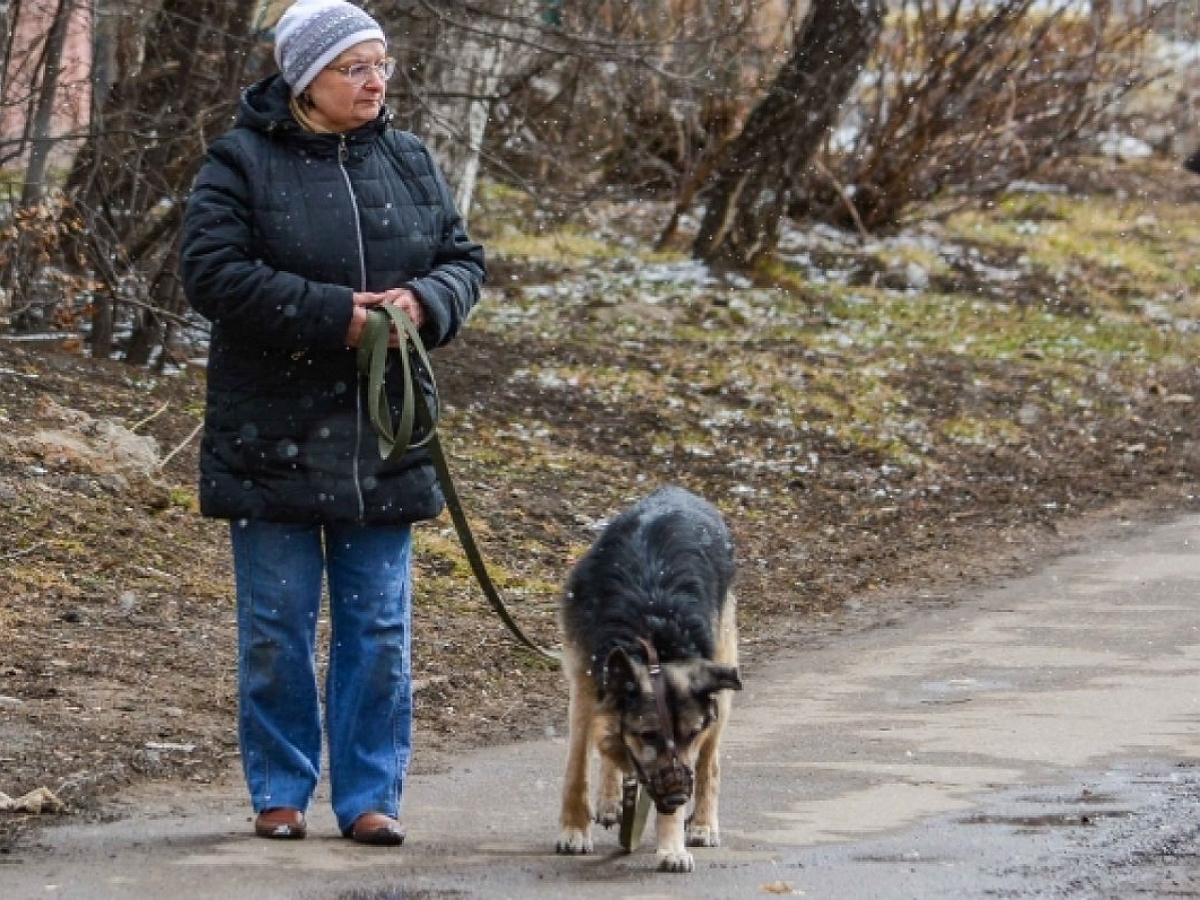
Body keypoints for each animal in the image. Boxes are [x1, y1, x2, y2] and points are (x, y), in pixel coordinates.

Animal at [554, 487, 739, 873]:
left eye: (691, 733)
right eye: (649, 735)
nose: (678, 796)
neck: (650, 639)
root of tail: (679, 491)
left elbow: (693, 762)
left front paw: (672, 845)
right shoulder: (584, 683)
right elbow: (577, 766)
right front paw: (574, 829)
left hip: (723, 669)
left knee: (710, 763)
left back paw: (703, 824)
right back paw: (610, 801)